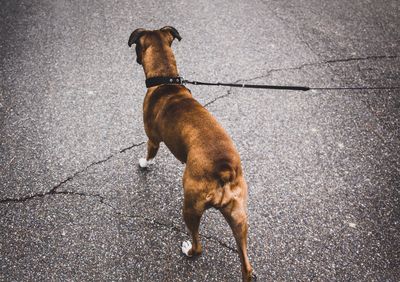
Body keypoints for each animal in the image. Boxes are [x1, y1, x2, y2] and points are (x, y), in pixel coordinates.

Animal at [126, 27, 255, 282]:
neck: (166, 81)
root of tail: (224, 171)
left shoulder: (153, 139)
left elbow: (149, 154)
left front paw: (144, 163)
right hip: (239, 218)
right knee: (246, 265)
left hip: (191, 207)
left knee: (199, 245)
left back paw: (189, 250)